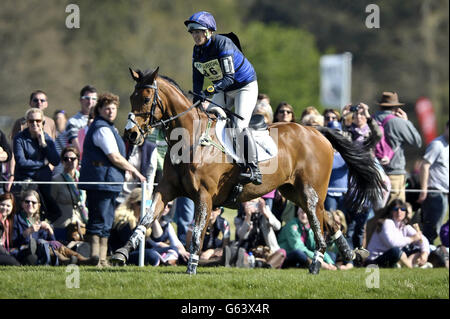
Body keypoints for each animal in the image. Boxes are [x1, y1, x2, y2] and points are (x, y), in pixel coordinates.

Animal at [111, 68, 384, 276]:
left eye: (146, 99)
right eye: (131, 97)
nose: (130, 134)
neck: (191, 137)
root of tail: (316, 131)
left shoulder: (204, 196)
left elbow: (197, 232)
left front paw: (191, 267)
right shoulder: (167, 189)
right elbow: (146, 218)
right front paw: (121, 253)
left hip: (310, 192)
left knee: (318, 225)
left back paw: (317, 264)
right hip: (294, 192)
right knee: (329, 218)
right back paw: (350, 252)